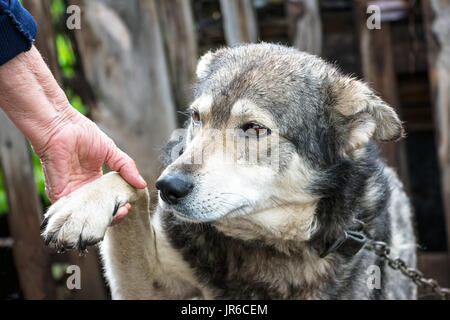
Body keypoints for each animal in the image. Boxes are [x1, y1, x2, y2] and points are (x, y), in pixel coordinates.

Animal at [40, 43, 416, 298]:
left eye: (254, 129)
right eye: (196, 117)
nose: (169, 187)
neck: (266, 246)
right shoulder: (148, 288)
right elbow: (132, 181)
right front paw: (83, 206)